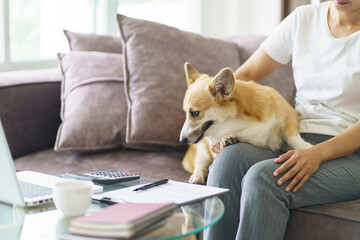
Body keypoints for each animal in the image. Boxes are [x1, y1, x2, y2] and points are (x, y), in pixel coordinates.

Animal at [180, 62, 312, 185]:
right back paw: (197, 177)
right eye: (186, 113)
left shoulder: (287, 119)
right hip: (202, 150)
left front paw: (306, 147)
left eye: (195, 113)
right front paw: (227, 138)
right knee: (200, 165)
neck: (240, 122)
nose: (182, 140)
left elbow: (293, 138)